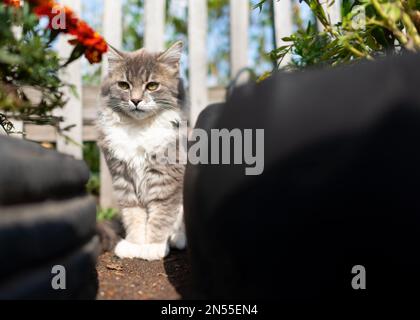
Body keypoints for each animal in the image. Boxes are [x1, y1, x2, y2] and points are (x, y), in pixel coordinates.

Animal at [97, 42, 186, 260]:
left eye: (152, 86)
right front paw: (135, 244)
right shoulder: (124, 180)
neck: (138, 128)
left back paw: (177, 239)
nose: (135, 100)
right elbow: (134, 216)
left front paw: (153, 246)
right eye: (124, 85)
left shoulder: (166, 179)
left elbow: (161, 216)